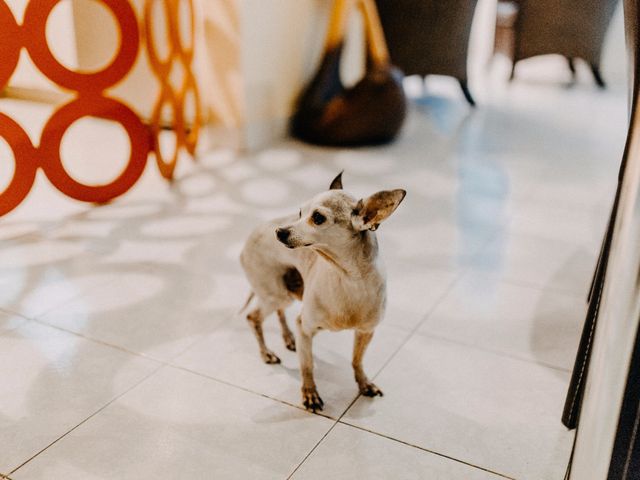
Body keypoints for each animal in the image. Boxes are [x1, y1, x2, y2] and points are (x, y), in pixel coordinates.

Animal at [240, 172, 404, 412]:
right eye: (300, 213)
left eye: (317, 218)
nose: (280, 231)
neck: (347, 278)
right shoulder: (305, 328)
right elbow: (306, 366)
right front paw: (310, 394)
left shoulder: (366, 331)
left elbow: (357, 361)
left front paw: (364, 384)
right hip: (275, 294)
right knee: (253, 317)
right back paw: (267, 353)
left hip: (286, 293)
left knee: (278, 312)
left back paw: (288, 338)